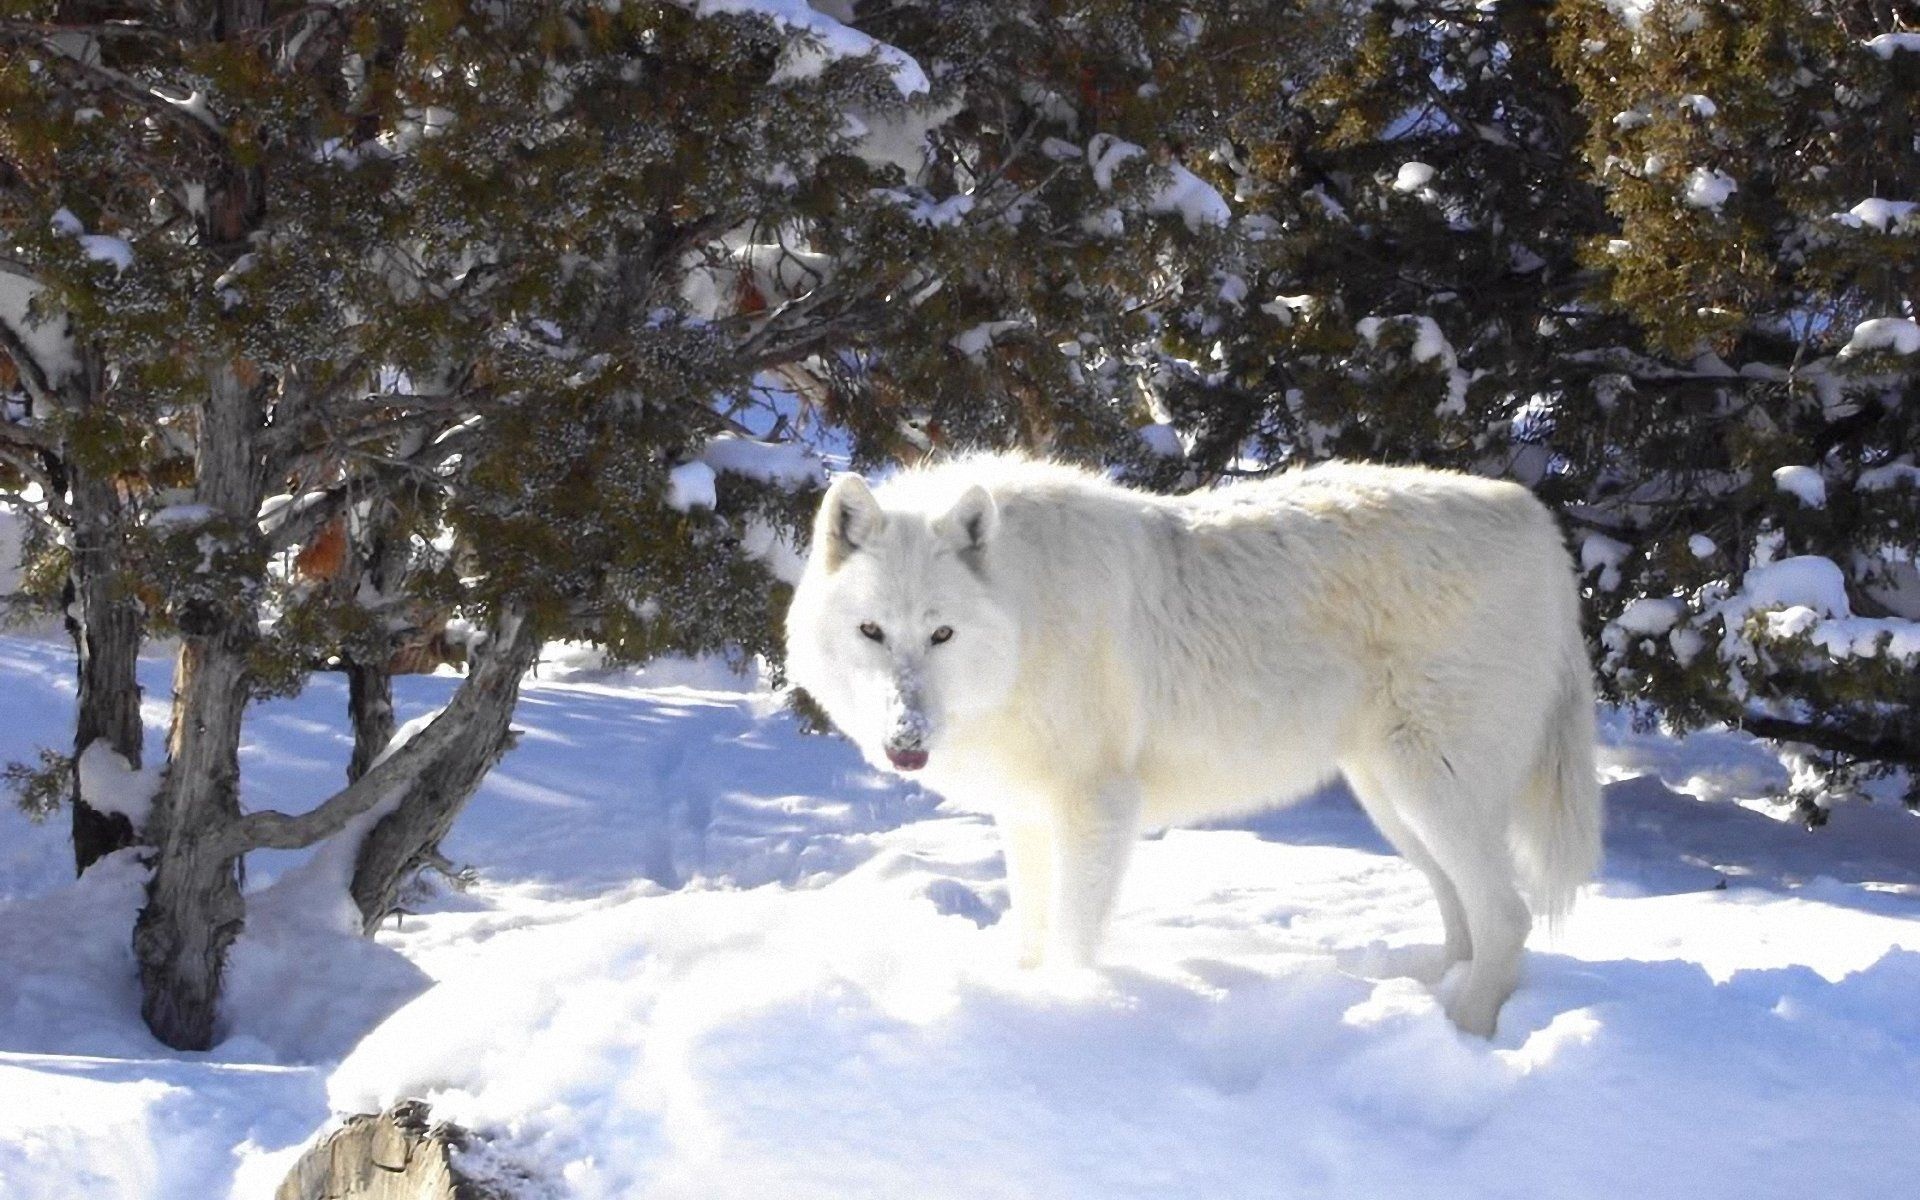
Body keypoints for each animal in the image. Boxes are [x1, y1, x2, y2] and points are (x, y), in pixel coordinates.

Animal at [783, 453, 1605, 1036]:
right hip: (1392, 800)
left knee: (1509, 917)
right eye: (872, 631)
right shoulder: (1023, 815)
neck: (1025, 620)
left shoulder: (1097, 808)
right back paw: (1423, 999)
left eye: (942, 634)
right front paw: (1019, 994)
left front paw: (1066, 1015)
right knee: (1463, 913)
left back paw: (1461, 1033)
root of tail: (1539, 521)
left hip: (1431, 787)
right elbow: (1030, 932)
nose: (905, 739)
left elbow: (1072, 938)